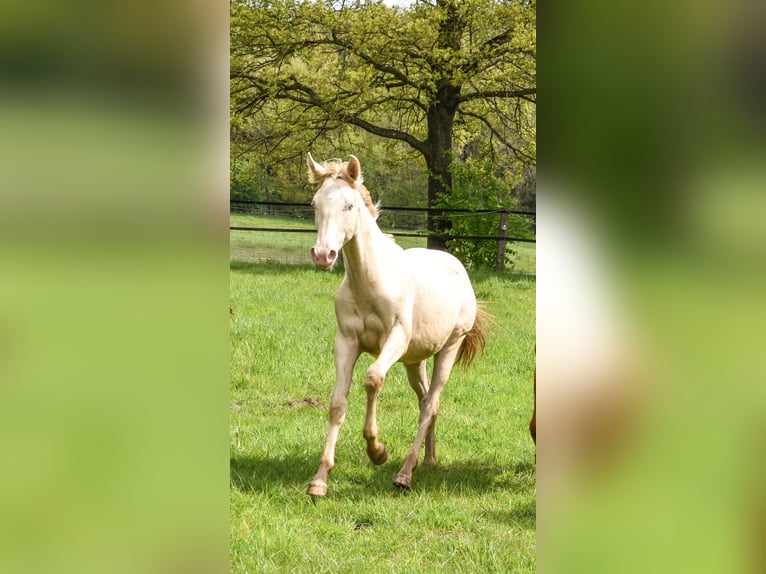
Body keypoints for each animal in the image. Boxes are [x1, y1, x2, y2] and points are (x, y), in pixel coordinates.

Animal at [304, 154, 488, 500]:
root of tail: (457, 267)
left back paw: (404, 473)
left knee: (431, 403)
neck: (370, 281)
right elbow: (337, 405)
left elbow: (373, 379)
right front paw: (319, 480)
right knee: (424, 400)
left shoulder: (396, 340)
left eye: (349, 206)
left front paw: (377, 451)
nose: (323, 255)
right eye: (314, 204)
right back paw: (428, 460)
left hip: (448, 349)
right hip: (415, 360)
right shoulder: (346, 343)